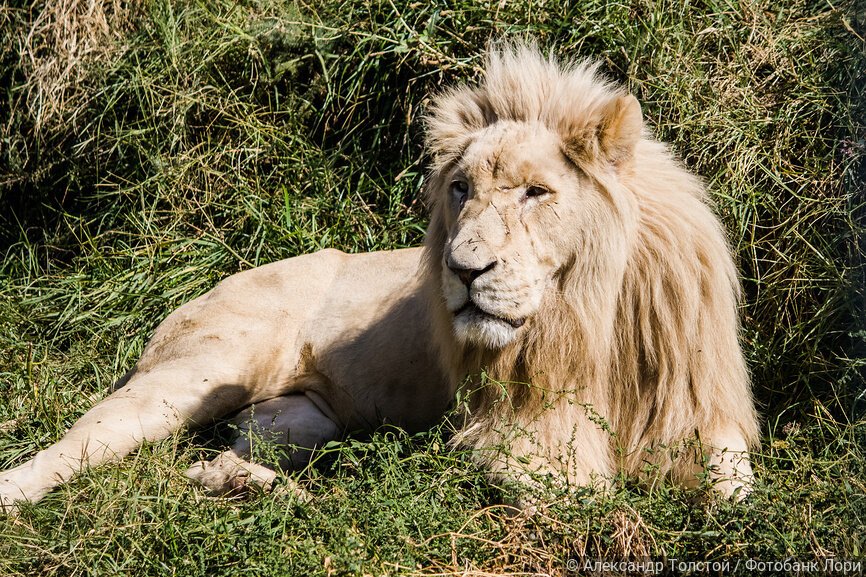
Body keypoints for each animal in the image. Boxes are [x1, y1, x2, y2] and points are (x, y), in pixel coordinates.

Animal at [0, 42, 759, 513]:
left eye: (536, 193)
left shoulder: (702, 413)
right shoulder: (517, 433)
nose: (462, 269)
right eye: (460, 189)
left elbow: (737, 483)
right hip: (196, 372)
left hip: (301, 417)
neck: (592, 313)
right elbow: (576, 490)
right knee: (80, 442)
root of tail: (207, 286)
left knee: (211, 462)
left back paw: (262, 491)